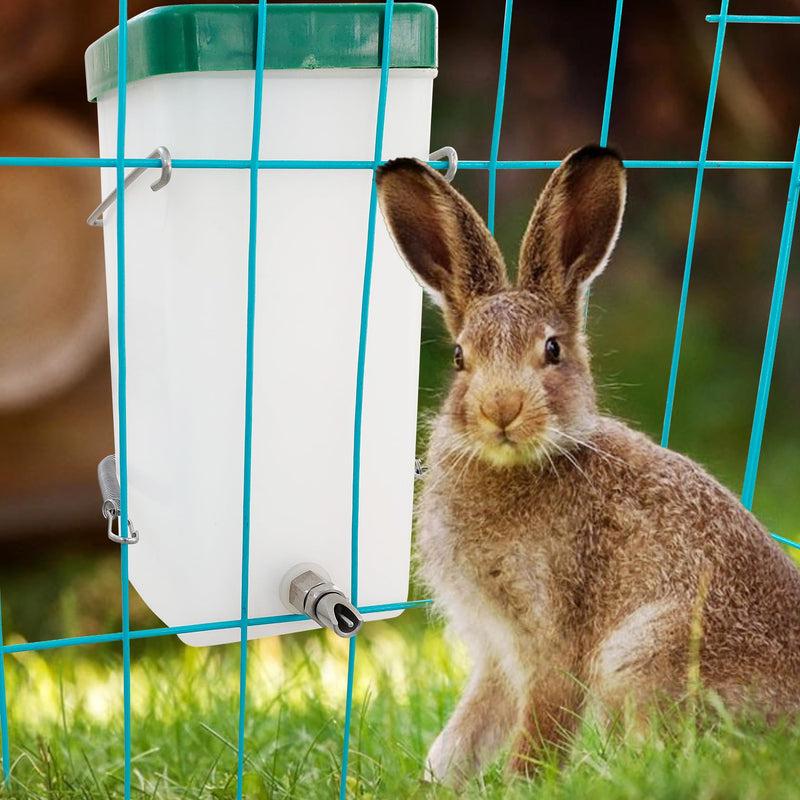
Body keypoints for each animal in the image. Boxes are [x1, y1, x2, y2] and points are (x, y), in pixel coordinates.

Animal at [375, 145, 800, 788]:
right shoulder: (496, 650)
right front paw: (436, 782)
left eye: (551, 350)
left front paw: (522, 785)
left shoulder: (554, 636)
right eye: (459, 358)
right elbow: (469, 729)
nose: (501, 409)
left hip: (643, 652)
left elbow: (541, 726)